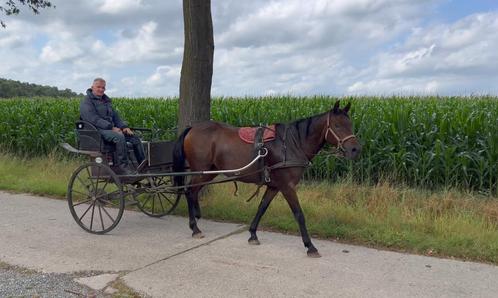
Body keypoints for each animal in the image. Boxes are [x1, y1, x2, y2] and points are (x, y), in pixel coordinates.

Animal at [173, 101, 360, 258]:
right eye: (337, 125)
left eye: (350, 124)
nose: (355, 149)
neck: (290, 144)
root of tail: (192, 128)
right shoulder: (287, 187)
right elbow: (299, 214)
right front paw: (310, 246)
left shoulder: (274, 186)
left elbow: (262, 207)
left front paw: (253, 234)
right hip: (201, 171)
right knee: (189, 191)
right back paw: (194, 227)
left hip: (209, 171)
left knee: (193, 192)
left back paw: (197, 218)